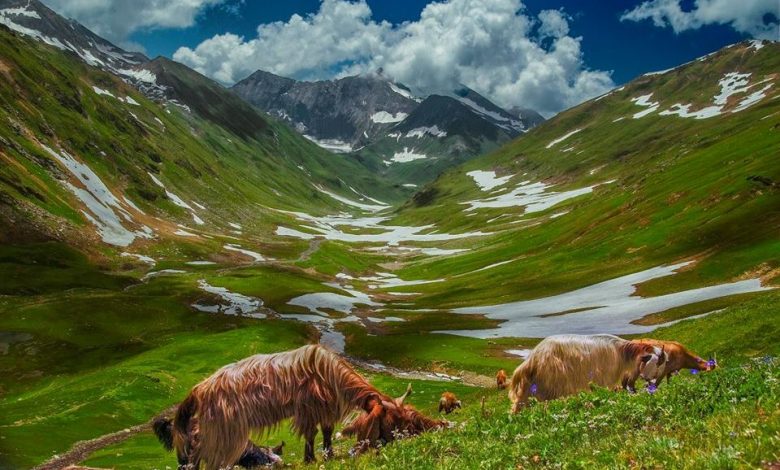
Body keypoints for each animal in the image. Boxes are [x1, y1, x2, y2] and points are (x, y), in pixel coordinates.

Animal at [167, 344, 442, 468]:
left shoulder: (326, 411)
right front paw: (310, 458)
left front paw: (328, 455)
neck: (330, 375)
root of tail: (199, 389)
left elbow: (327, 433)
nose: (410, 438)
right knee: (207, 455)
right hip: (224, 430)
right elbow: (311, 434)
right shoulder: (308, 410)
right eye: (395, 421)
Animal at [508, 332, 668, 414]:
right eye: (657, 363)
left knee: (520, 403)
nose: (653, 385)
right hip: (549, 385)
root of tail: (532, 359)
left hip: (532, 386)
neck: (622, 352)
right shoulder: (605, 378)